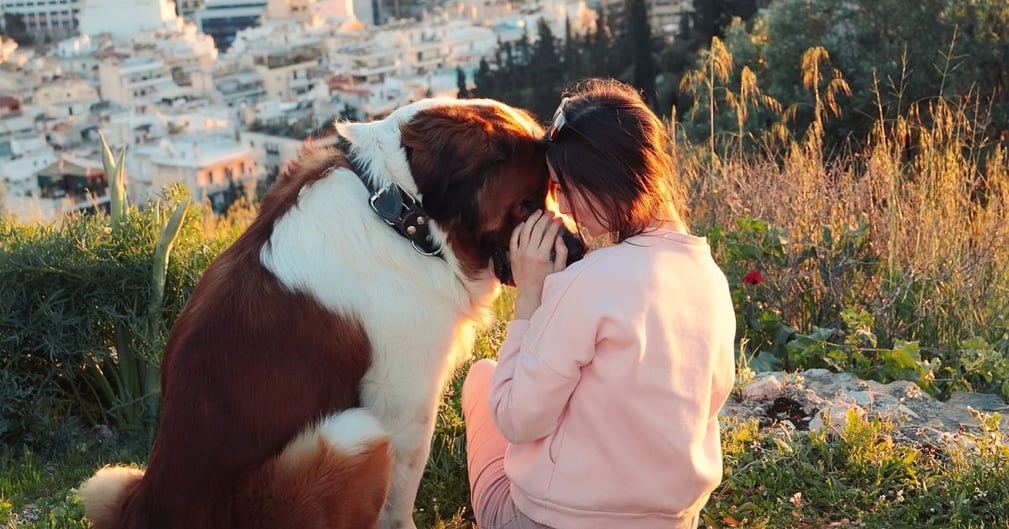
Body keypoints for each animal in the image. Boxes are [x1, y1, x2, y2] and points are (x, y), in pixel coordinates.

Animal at [82, 95, 589, 529]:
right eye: (528, 204)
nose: (581, 249)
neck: (398, 212)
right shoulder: (404, 404)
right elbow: (399, 499)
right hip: (349, 438)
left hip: (109, 481)